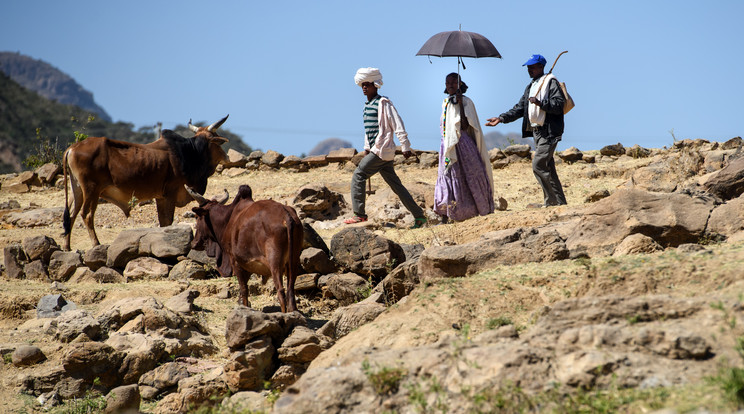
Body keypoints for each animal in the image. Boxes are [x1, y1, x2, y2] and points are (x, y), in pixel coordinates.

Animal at [62, 114, 228, 249]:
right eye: (217, 139)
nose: (226, 156)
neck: (190, 153)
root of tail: (72, 148)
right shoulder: (170, 195)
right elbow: (168, 221)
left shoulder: (161, 198)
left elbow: (164, 223)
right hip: (92, 190)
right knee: (86, 215)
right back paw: (96, 244)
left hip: (77, 190)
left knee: (71, 216)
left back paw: (67, 247)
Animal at [187, 183, 304, 312]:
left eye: (197, 217)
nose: (194, 243)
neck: (228, 218)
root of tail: (286, 216)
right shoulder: (247, 263)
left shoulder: (235, 261)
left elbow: (243, 289)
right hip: (293, 261)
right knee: (291, 291)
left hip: (275, 263)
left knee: (281, 292)